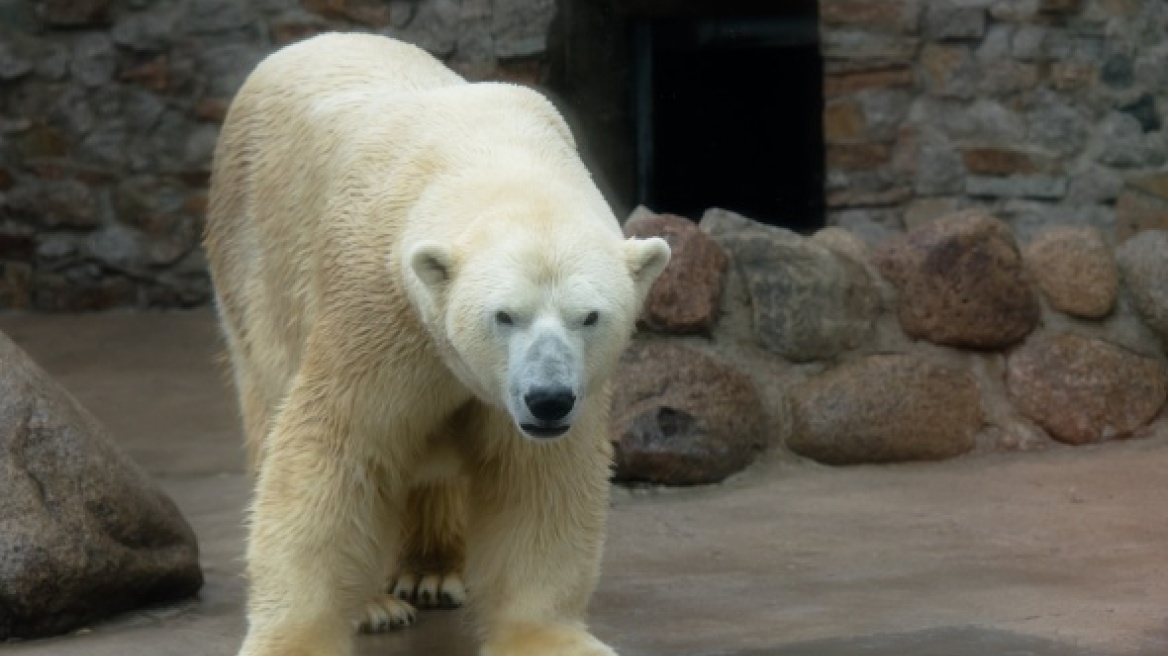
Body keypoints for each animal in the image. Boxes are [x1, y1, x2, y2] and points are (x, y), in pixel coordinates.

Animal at [205, 33, 672, 653]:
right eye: (505, 316)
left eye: (589, 317)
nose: (548, 398)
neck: (490, 154)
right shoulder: (377, 309)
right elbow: (335, 454)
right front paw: (297, 638)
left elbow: (536, 480)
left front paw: (550, 637)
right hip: (256, 262)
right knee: (272, 389)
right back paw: (376, 603)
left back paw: (432, 571)